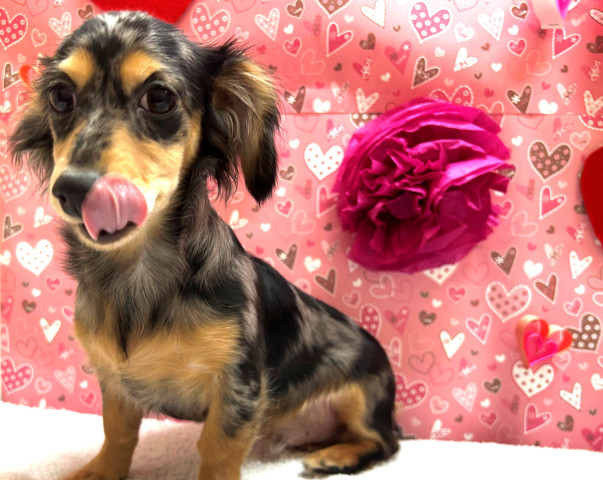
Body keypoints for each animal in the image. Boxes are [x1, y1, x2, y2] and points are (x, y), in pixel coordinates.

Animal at [11, 11, 400, 480]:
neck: (138, 271)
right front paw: (101, 471)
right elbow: (117, 432)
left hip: (363, 394)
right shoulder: (115, 380)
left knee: (385, 442)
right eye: (60, 96)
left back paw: (336, 456)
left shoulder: (238, 383)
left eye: (159, 98)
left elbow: (217, 449)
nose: (72, 189)